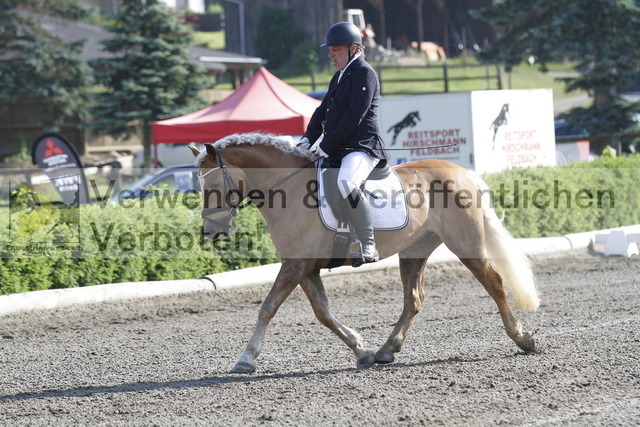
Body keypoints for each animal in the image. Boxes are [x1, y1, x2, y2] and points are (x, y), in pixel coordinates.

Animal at [191, 134, 540, 374]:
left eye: (213, 186)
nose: (210, 234)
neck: (287, 191)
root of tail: (464, 172)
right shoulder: (304, 267)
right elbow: (323, 313)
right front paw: (361, 351)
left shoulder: (295, 265)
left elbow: (267, 308)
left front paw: (245, 358)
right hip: (415, 250)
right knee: (414, 298)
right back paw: (387, 350)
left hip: (465, 244)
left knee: (494, 283)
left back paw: (523, 338)